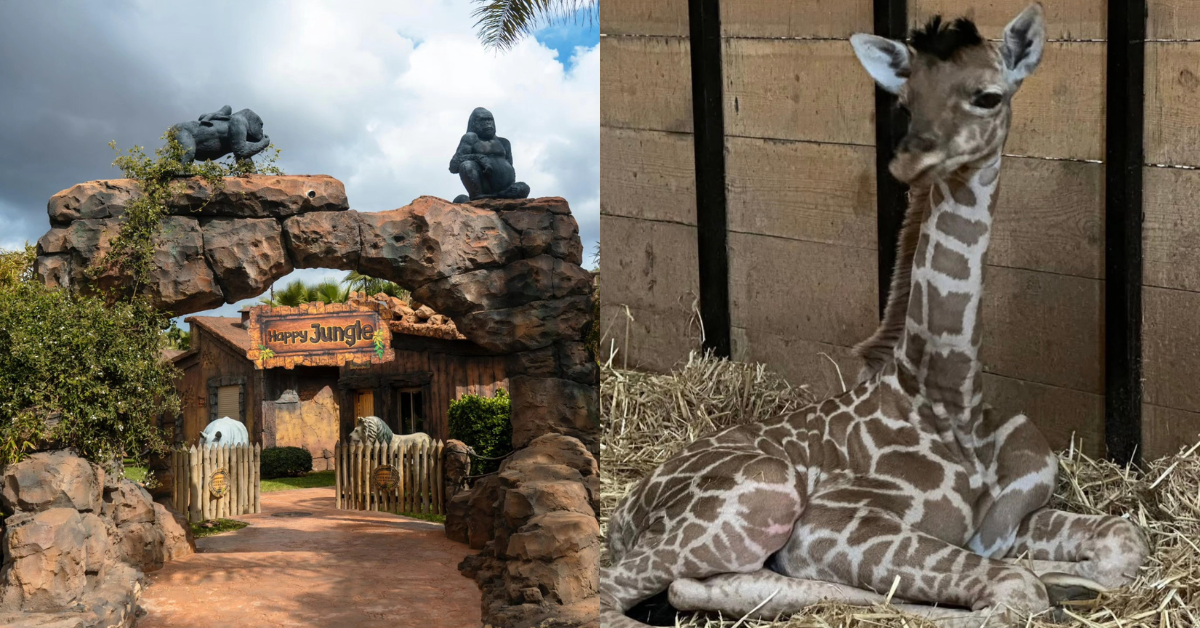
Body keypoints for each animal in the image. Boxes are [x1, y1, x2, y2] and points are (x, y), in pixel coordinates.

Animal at [600, 5, 1149, 627]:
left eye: (988, 96)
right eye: (905, 101)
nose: (911, 159)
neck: (951, 401)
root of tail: (621, 514)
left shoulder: (1011, 520)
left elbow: (1124, 539)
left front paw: (1070, 578)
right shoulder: (829, 527)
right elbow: (1014, 592)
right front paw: (1045, 584)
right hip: (766, 493)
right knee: (619, 590)